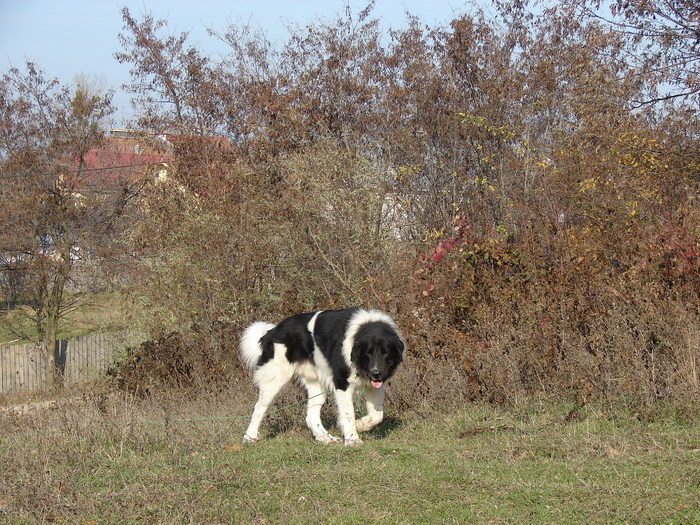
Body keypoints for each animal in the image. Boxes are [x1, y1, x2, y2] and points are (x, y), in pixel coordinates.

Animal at [242, 308, 404, 446]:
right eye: (368, 352)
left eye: (386, 352)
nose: (376, 374)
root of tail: (271, 332)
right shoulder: (342, 384)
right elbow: (349, 414)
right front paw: (352, 439)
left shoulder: (375, 386)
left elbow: (377, 415)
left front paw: (360, 425)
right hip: (275, 379)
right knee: (259, 407)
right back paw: (249, 437)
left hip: (317, 386)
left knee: (310, 417)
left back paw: (325, 438)